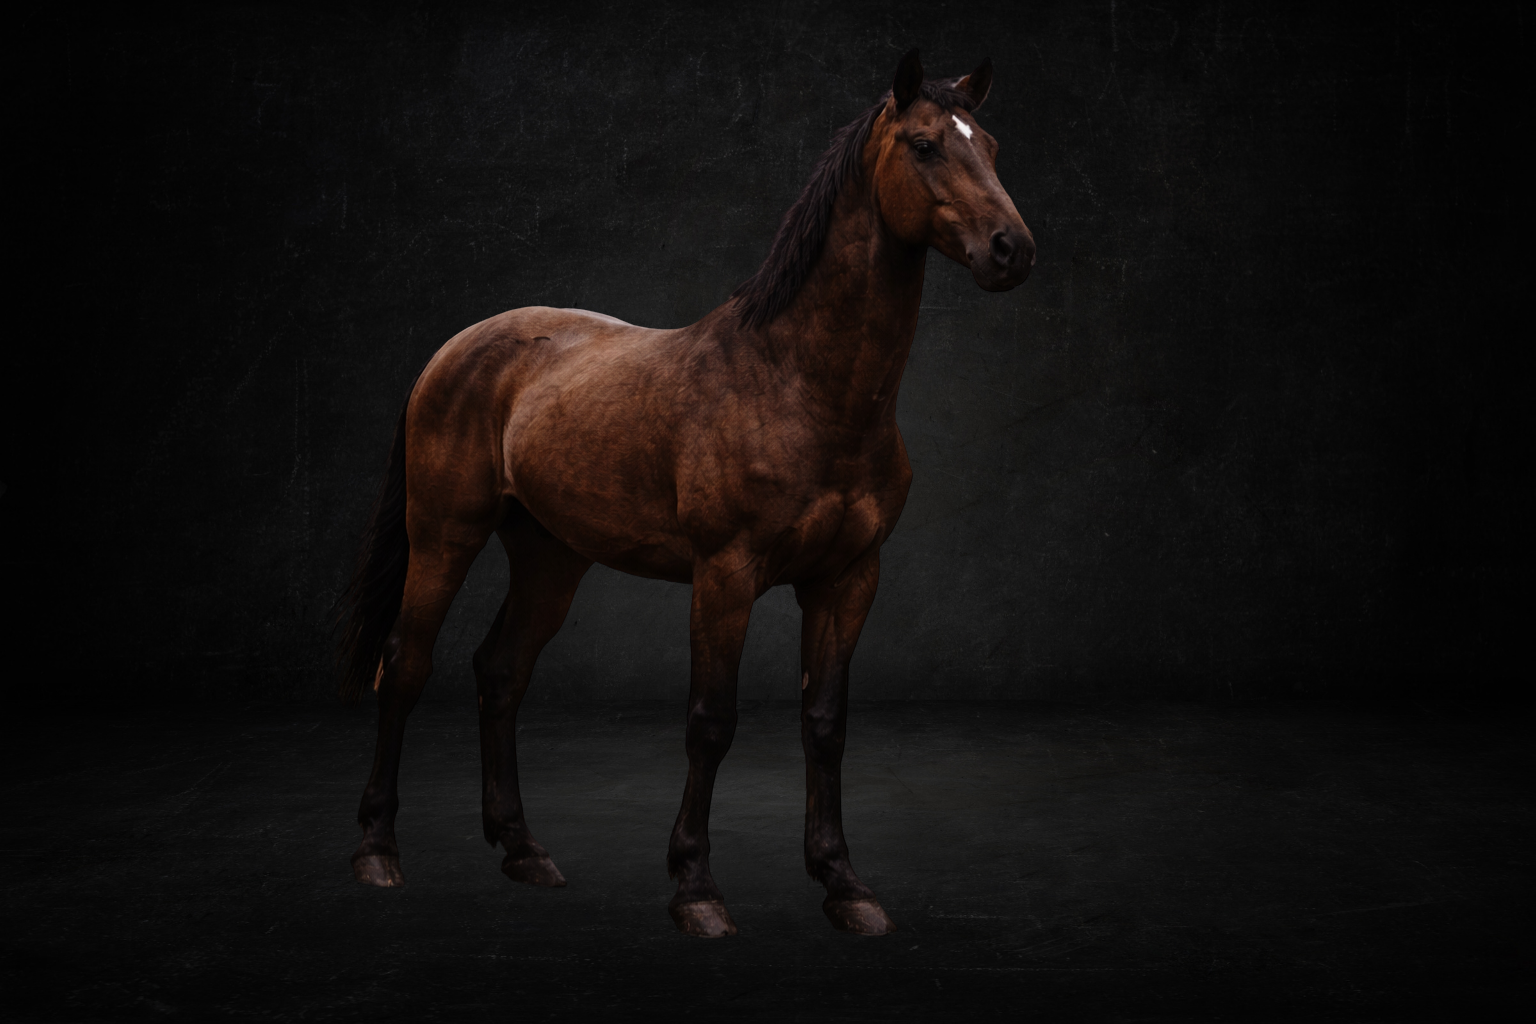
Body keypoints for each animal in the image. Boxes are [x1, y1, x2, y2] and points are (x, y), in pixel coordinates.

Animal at [336, 49, 1034, 938]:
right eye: (923, 146)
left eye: (993, 146)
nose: (1012, 250)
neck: (800, 386)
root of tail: (454, 350)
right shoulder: (725, 576)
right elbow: (710, 722)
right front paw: (696, 889)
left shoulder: (847, 580)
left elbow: (825, 724)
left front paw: (844, 885)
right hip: (444, 536)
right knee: (405, 665)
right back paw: (376, 850)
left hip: (551, 557)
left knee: (501, 671)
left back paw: (523, 850)